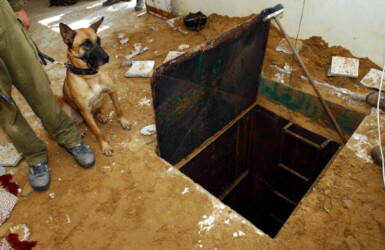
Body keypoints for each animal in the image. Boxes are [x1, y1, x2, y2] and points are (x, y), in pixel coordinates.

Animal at [56, 16, 130, 155]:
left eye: (98, 40)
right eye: (86, 43)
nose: (107, 57)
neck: (89, 76)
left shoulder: (112, 91)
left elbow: (119, 109)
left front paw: (124, 121)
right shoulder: (85, 111)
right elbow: (97, 132)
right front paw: (105, 146)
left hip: (100, 101)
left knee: (96, 111)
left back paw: (100, 115)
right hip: (64, 106)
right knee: (74, 123)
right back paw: (79, 129)